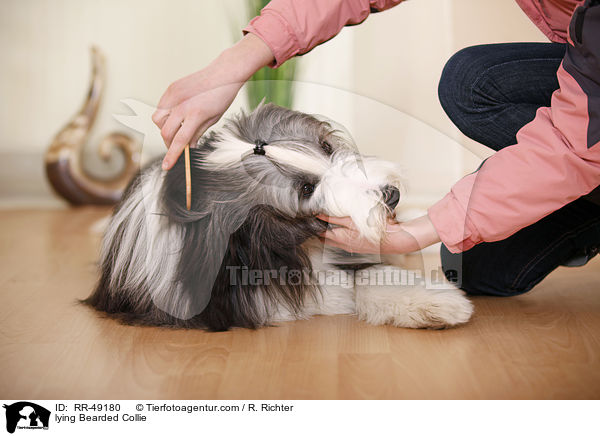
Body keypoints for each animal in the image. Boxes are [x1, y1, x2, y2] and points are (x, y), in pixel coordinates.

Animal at [84, 104, 472, 332]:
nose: (391, 195)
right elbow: (333, 289)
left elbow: (366, 273)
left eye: (326, 147)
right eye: (305, 189)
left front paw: (436, 301)